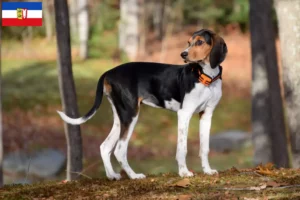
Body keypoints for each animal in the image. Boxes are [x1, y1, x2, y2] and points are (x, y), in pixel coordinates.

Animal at [58, 28, 227, 180]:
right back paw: (134, 176)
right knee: (119, 150)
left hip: (120, 117)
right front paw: (184, 172)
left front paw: (208, 170)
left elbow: (204, 147)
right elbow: (182, 148)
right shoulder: (184, 114)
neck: (206, 78)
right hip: (131, 114)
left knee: (105, 147)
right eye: (188, 42)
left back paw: (112, 175)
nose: (183, 54)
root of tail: (109, 72)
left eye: (199, 42)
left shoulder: (206, 115)